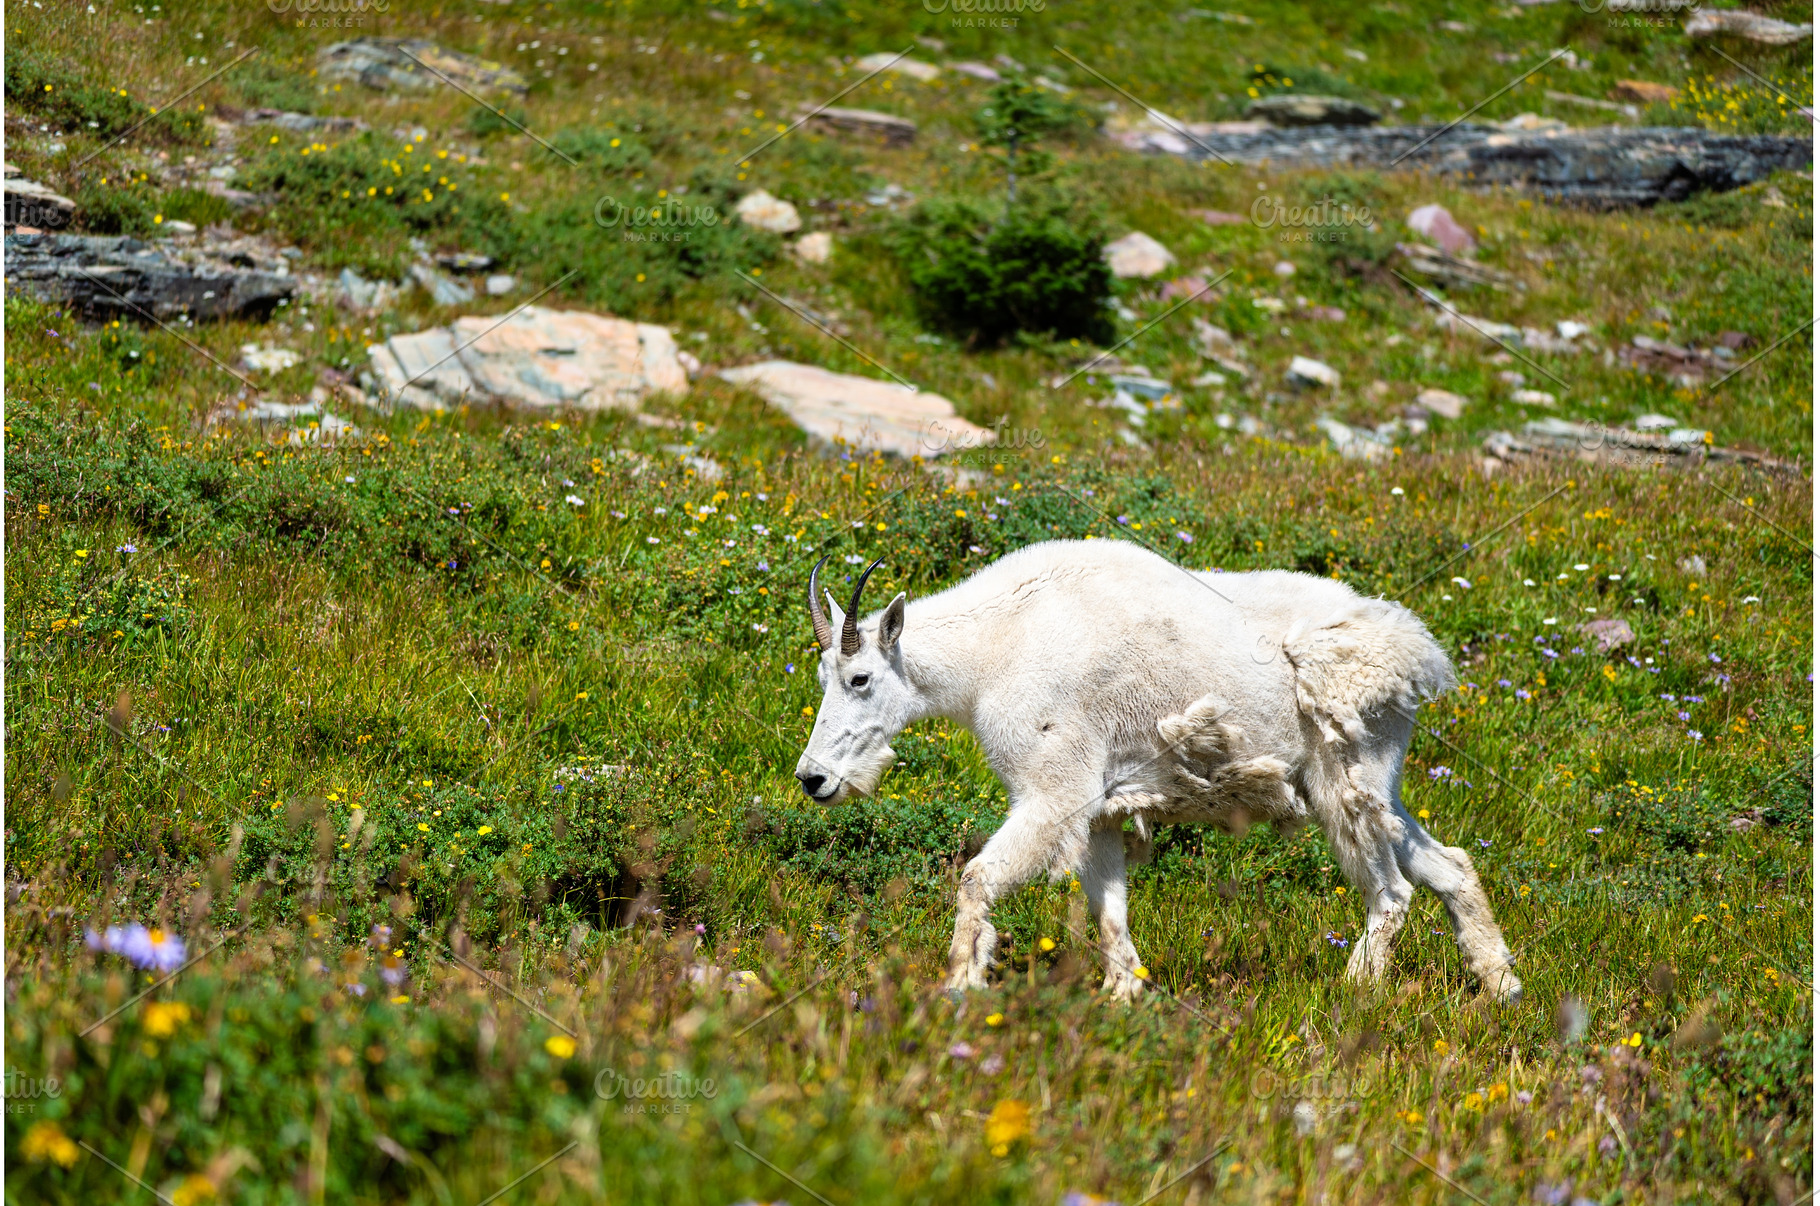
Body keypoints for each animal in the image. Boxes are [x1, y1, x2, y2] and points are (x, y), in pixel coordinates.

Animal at [792, 539, 1521, 1003]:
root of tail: (1419, 655)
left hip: (1345, 775)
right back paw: (1502, 986)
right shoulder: (1098, 809)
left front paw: (960, 987)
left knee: (1392, 892)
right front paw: (1124, 994)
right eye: (822, 677)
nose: (813, 779)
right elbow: (1110, 908)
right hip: (1370, 783)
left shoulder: (1055, 791)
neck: (994, 649)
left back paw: (1357, 990)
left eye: (860, 678)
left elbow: (976, 879)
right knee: (1449, 864)